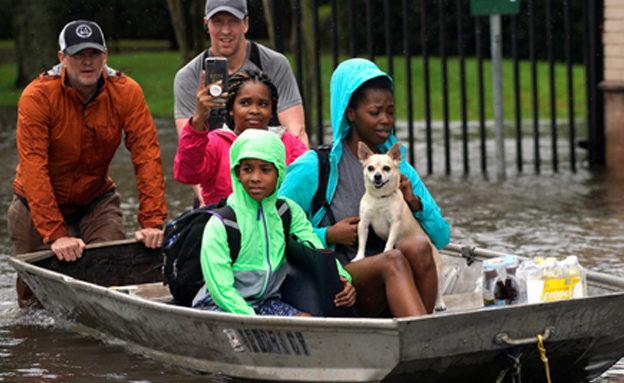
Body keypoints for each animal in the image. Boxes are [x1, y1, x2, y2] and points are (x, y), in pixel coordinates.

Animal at [354, 141, 446, 312]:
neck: (380, 198)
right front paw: (359, 257)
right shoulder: (364, 223)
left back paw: (440, 303)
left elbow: (390, 241)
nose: (377, 176)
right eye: (370, 168)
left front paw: (386, 252)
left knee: (438, 290)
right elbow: (362, 243)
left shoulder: (394, 223)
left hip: (436, 270)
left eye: (386, 168)